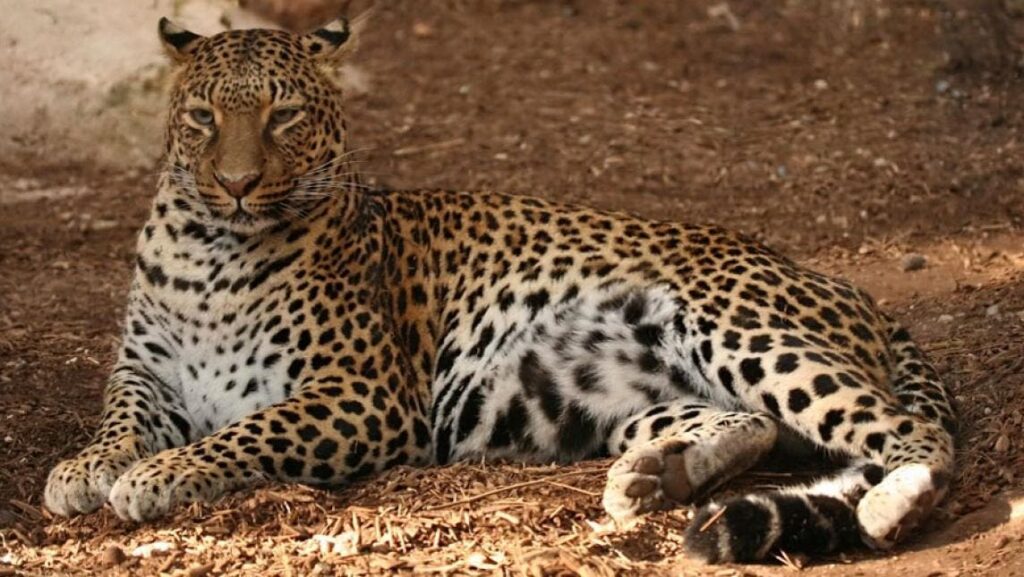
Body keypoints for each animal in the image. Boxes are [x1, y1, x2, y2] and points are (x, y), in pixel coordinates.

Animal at [43, 16, 958, 564]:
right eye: (202, 117)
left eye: (284, 117)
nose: (234, 184)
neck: (211, 252)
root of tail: (851, 287)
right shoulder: (144, 368)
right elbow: (119, 416)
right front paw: (83, 467)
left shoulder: (366, 395)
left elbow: (246, 432)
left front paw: (159, 474)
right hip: (613, 396)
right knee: (763, 426)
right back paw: (652, 480)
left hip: (731, 323)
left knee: (911, 435)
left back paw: (890, 506)